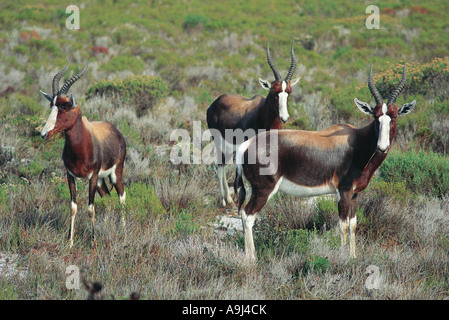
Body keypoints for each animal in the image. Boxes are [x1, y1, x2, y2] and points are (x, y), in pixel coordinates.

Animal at [39, 57, 127, 248]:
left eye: (64, 107)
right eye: (51, 105)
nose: (44, 134)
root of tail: (116, 132)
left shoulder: (92, 177)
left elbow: (90, 207)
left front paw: (93, 243)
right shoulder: (70, 175)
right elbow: (74, 206)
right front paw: (70, 242)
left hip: (115, 174)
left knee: (122, 197)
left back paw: (122, 232)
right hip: (101, 181)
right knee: (108, 198)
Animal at [207, 42, 300, 208]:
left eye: (288, 92)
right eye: (274, 92)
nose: (284, 117)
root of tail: (214, 103)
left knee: (223, 164)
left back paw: (229, 198)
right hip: (218, 142)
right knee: (219, 165)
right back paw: (224, 200)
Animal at [234, 63, 416, 262]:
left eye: (394, 116)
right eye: (375, 117)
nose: (382, 147)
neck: (357, 141)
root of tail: (246, 145)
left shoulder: (354, 194)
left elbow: (353, 225)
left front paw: (353, 257)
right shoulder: (343, 191)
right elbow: (343, 225)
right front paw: (344, 258)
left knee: (244, 214)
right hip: (264, 190)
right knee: (248, 215)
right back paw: (252, 259)